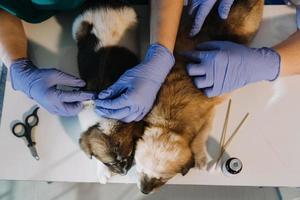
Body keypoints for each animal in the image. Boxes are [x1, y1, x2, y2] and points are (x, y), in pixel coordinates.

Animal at [135, 0, 264, 194]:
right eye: (140, 170)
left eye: (162, 179)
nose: (144, 191)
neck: (170, 121)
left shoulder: (209, 114)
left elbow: (200, 137)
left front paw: (201, 158)